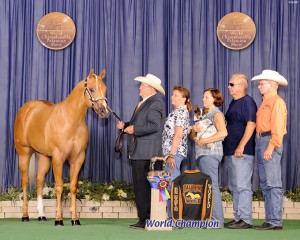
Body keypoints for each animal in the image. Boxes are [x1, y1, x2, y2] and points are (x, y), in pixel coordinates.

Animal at [14, 68, 109, 226]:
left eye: (105, 89)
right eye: (91, 89)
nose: (105, 112)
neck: (71, 121)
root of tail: (26, 109)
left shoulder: (78, 158)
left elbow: (73, 187)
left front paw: (75, 218)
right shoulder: (58, 158)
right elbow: (59, 187)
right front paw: (59, 219)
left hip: (44, 157)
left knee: (39, 180)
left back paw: (41, 215)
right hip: (24, 153)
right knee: (25, 181)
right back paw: (25, 215)